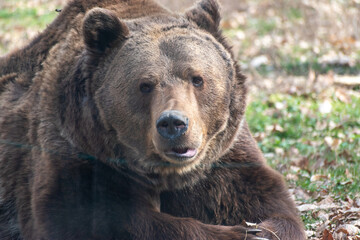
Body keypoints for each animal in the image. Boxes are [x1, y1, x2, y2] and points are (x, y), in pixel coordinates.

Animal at [0, 0, 306, 239]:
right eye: (145, 85)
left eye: (197, 79)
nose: (173, 124)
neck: (168, 175)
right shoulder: (80, 151)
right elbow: (92, 218)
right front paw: (238, 233)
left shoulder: (221, 160)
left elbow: (269, 202)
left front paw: (260, 230)